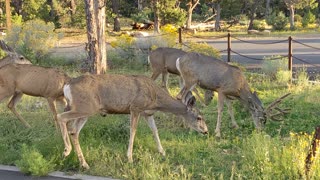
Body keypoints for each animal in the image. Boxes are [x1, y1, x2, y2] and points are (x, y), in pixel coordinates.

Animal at [56, 73, 209, 169]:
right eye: (199, 117)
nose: (206, 131)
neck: (156, 98)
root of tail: (67, 85)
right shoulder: (135, 108)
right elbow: (133, 131)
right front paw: (129, 158)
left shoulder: (148, 113)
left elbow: (155, 130)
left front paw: (162, 151)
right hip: (85, 107)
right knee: (60, 117)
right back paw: (66, 151)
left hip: (85, 110)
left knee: (73, 131)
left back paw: (84, 164)